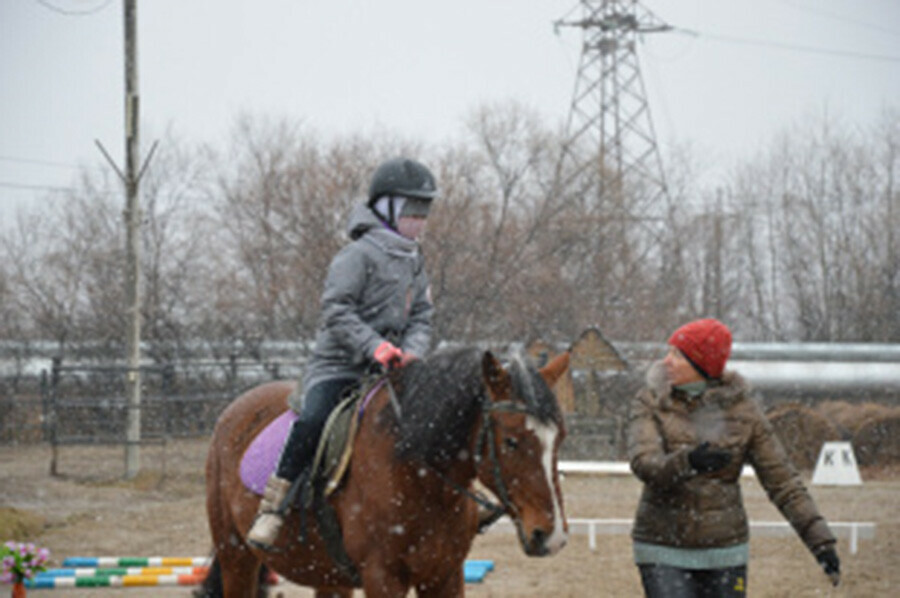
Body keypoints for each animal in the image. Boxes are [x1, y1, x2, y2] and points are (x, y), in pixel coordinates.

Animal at [202, 346, 568, 598]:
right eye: (511, 441)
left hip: (328, 576)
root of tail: (233, 409)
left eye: (560, 438)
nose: (550, 536)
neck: (422, 480)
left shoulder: (446, 576)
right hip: (236, 556)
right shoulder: (382, 579)